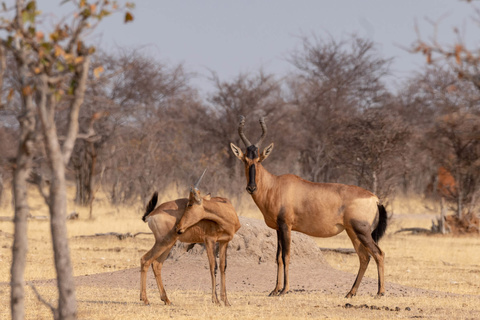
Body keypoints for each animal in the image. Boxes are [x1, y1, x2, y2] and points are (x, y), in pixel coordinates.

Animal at [141, 171, 242, 306]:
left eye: (190, 204)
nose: (178, 228)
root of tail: (152, 214)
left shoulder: (224, 242)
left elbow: (222, 266)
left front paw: (226, 301)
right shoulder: (209, 240)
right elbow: (213, 266)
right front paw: (215, 300)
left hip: (169, 243)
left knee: (156, 264)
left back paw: (166, 300)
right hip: (163, 242)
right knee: (145, 260)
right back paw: (145, 300)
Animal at [230, 116, 390, 298]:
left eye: (258, 160)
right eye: (245, 160)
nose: (251, 187)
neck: (275, 185)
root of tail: (375, 198)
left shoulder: (286, 226)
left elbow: (286, 256)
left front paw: (284, 290)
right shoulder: (278, 228)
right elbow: (277, 258)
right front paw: (274, 290)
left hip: (362, 231)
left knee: (378, 253)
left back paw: (380, 292)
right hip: (353, 232)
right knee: (364, 257)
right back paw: (351, 293)